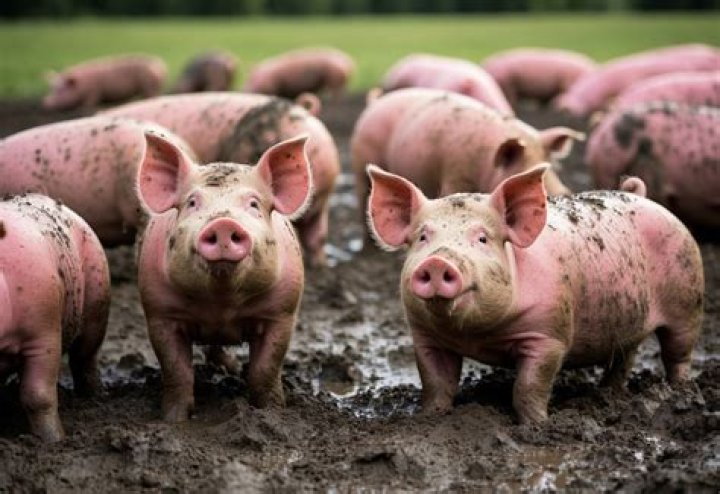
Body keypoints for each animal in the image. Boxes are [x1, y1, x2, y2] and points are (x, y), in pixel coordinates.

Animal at [0, 194, 110, 441]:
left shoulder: (44, 329)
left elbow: (37, 395)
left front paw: (53, 440)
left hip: (97, 299)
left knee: (84, 357)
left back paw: (94, 398)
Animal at [136, 133, 312, 422]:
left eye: (253, 204)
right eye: (192, 203)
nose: (223, 224)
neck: (222, 303)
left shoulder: (282, 312)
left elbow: (265, 370)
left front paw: (272, 413)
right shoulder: (160, 312)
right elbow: (176, 370)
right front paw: (174, 420)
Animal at [351, 88, 582, 233]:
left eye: (552, 167)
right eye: (522, 170)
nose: (559, 192)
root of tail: (376, 102)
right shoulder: (454, 175)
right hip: (361, 161)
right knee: (364, 202)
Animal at [367, 164, 703, 423]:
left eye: (482, 238)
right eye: (423, 237)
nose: (437, 261)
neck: (477, 335)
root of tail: (641, 195)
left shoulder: (549, 336)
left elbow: (528, 387)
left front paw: (537, 426)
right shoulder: (425, 336)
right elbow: (437, 384)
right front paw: (429, 419)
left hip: (688, 298)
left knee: (677, 352)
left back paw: (681, 393)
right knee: (626, 355)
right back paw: (609, 394)